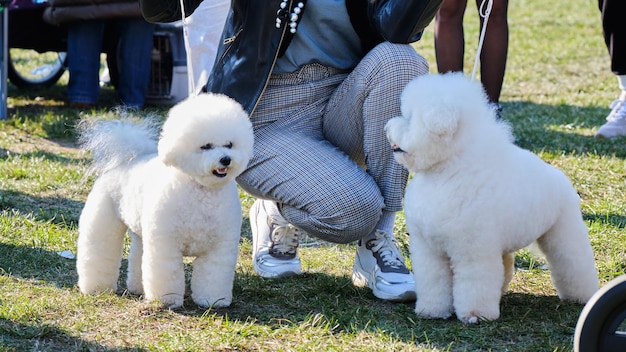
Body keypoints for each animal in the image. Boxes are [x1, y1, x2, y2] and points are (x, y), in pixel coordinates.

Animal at [77, 93, 252, 308]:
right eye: (206, 146)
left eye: (229, 144)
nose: (225, 159)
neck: (201, 191)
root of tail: (127, 159)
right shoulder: (166, 244)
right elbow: (166, 273)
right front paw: (166, 301)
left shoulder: (219, 247)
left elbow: (213, 276)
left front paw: (213, 301)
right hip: (104, 219)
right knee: (98, 252)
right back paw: (96, 288)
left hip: (142, 232)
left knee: (138, 256)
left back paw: (138, 288)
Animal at [382, 73, 596, 324]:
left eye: (409, 118)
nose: (387, 127)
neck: (447, 170)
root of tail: (560, 178)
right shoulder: (428, 249)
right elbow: (434, 281)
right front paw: (432, 311)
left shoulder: (473, 250)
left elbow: (475, 283)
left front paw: (476, 315)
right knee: (506, 264)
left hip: (563, 231)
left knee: (573, 263)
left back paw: (582, 296)